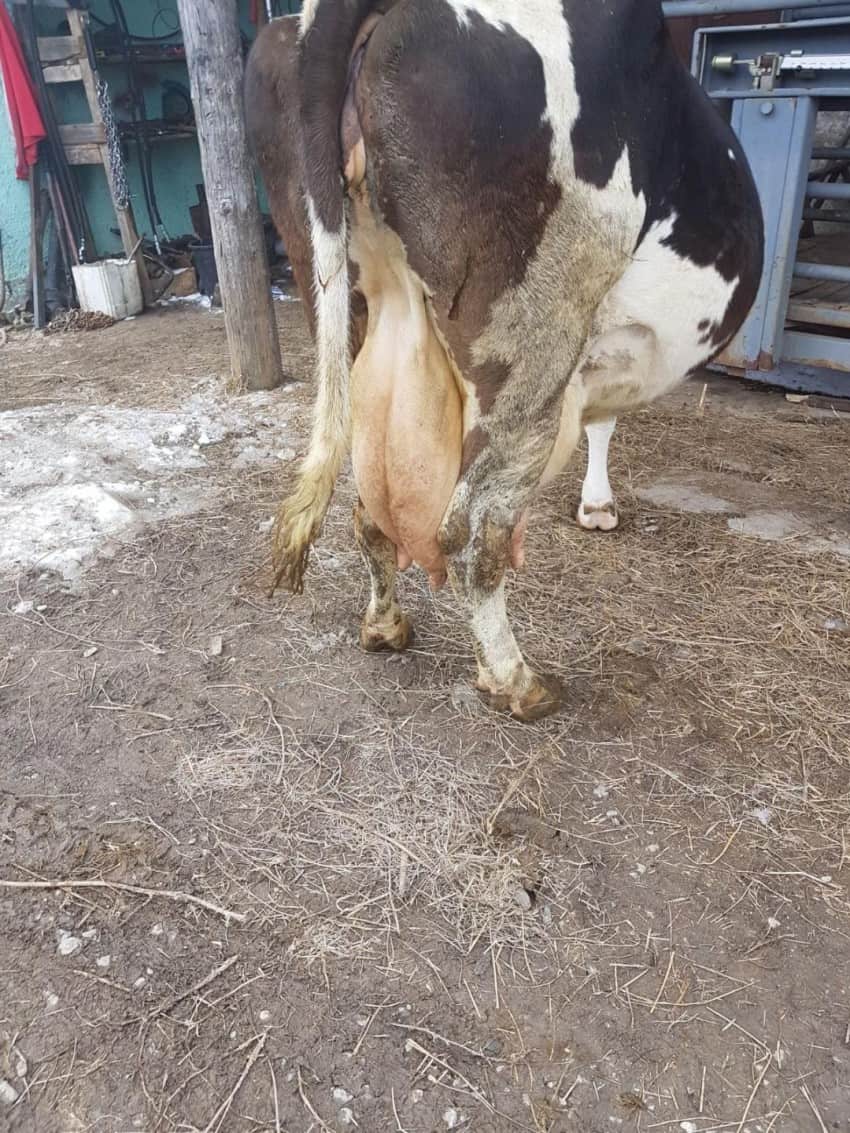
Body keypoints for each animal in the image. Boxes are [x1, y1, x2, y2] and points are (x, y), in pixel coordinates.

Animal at [244, 0, 763, 721]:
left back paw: (384, 626)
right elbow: (605, 421)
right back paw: (516, 680)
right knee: (473, 532)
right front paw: (598, 506)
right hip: (535, 340)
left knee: (371, 508)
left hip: (342, 302)